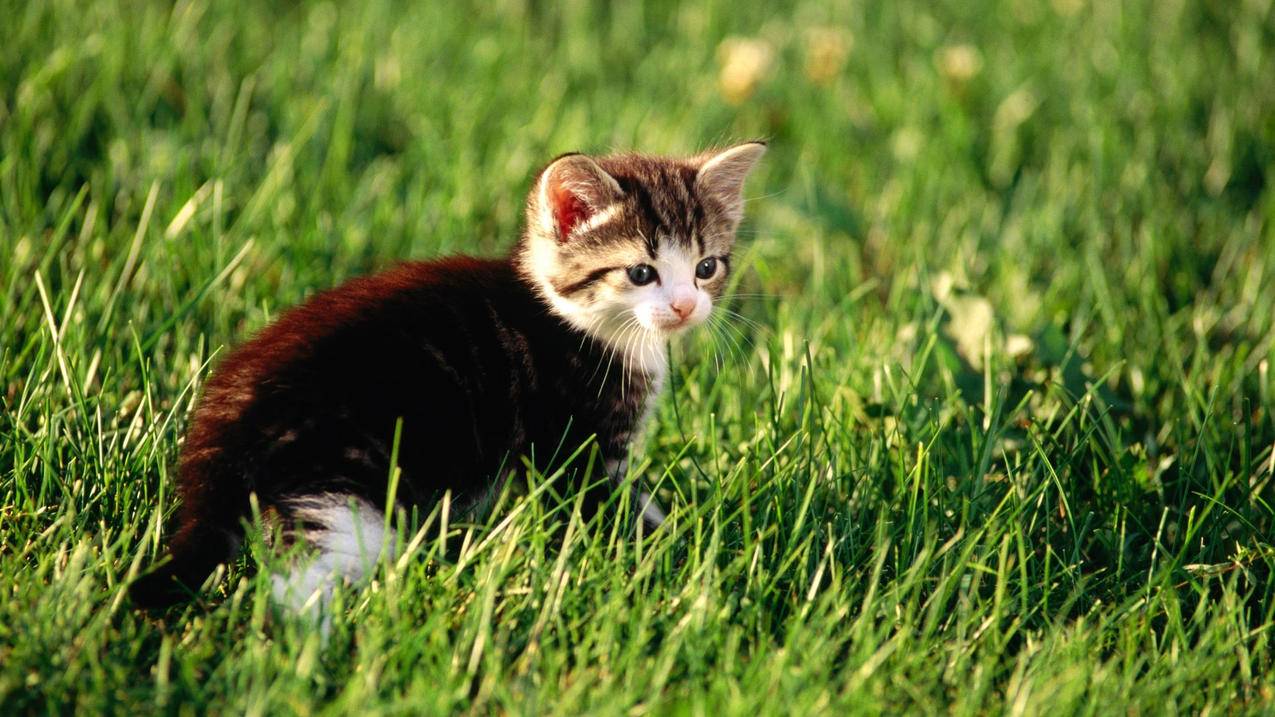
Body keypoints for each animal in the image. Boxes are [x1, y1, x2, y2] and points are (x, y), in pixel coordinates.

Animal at [129, 140, 765, 607]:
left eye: (707, 267)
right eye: (640, 273)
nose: (685, 306)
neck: (573, 319)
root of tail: (222, 428)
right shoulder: (576, 444)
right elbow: (616, 505)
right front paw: (695, 552)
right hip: (344, 487)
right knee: (300, 578)